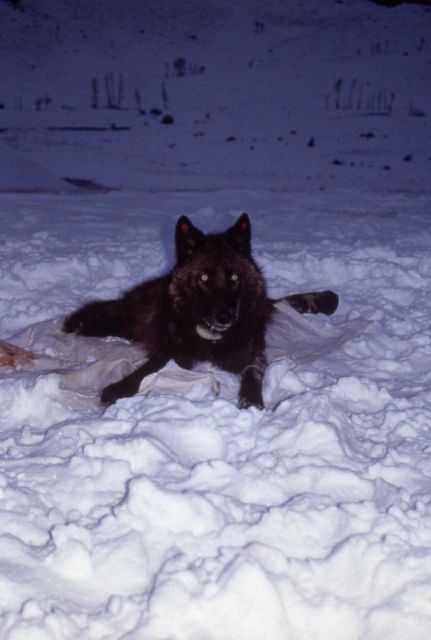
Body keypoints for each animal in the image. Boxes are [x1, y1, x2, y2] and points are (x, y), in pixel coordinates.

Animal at [63, 214, 338, 409]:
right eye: (204, 278)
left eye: (235, 277)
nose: (226, 316)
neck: (212, 340)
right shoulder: (169, 353)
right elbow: (145, 370)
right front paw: (119, 388)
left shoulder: (254, 355)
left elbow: (253, 374)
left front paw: (251, 401)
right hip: (133, 320)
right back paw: (78, 323)